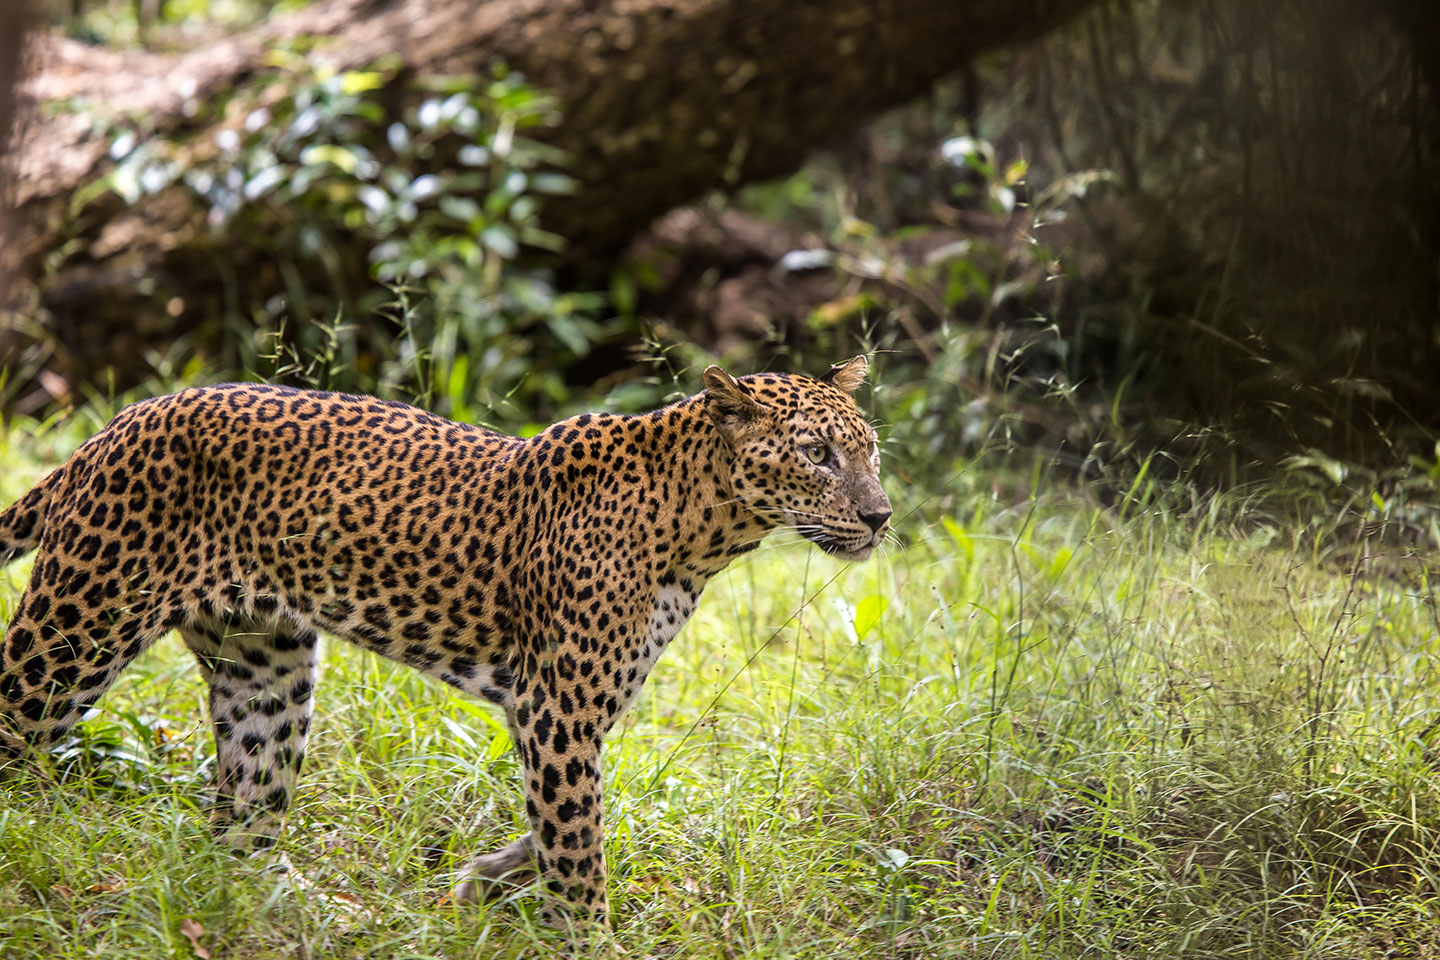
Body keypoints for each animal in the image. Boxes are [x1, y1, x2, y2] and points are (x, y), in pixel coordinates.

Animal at [0, 356, 891, 928]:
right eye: (818, 454)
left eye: (871, 450)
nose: (881, 516)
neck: (705, 527)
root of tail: (119, 422)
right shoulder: (558, 710)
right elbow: (579, 846)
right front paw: (587, 936)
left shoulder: (572, 716)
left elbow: (565, 825)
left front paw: (483, 879)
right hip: (75, 634)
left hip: (266, 668)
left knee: (241, 829)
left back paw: (317, 913)